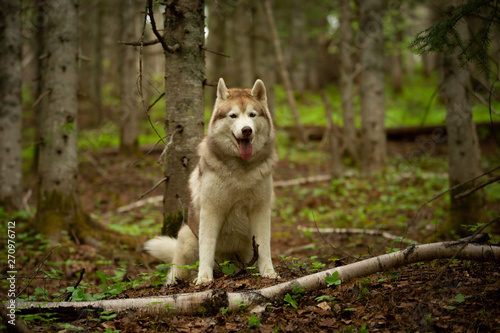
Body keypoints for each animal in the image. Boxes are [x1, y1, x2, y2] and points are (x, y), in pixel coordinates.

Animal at [145, 78, 280, 282]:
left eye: (252, 114)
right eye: (233, 116)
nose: (246, 130)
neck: (240, 171)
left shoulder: (260, 209)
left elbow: (264, 246)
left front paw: (268, 272)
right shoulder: (211, 210)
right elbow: (207, 248)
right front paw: (204, 278)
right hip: (186, 235)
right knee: (179, 270)